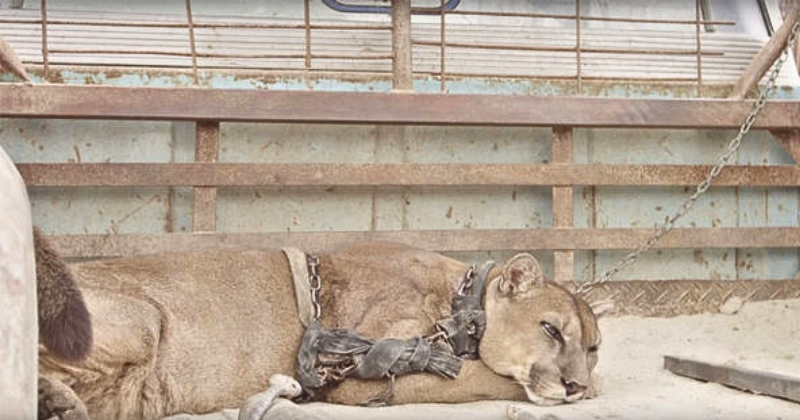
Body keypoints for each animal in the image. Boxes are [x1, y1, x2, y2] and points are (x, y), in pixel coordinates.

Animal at [38, 241, 610, 420]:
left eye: (593, 346)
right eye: (550, 329)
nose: (575, 384)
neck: (461, 301)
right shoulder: (361, 377)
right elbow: (481, 377)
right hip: (143, 321)